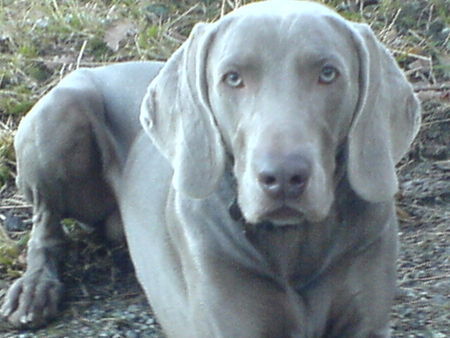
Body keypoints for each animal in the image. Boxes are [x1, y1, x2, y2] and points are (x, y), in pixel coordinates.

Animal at [2, 1, 422, 336]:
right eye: (233, 77)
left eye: (328, 73)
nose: (283, 179)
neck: (294, 245)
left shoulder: (366, 323)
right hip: (60, 112)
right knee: (45, 225)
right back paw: (34, 291)